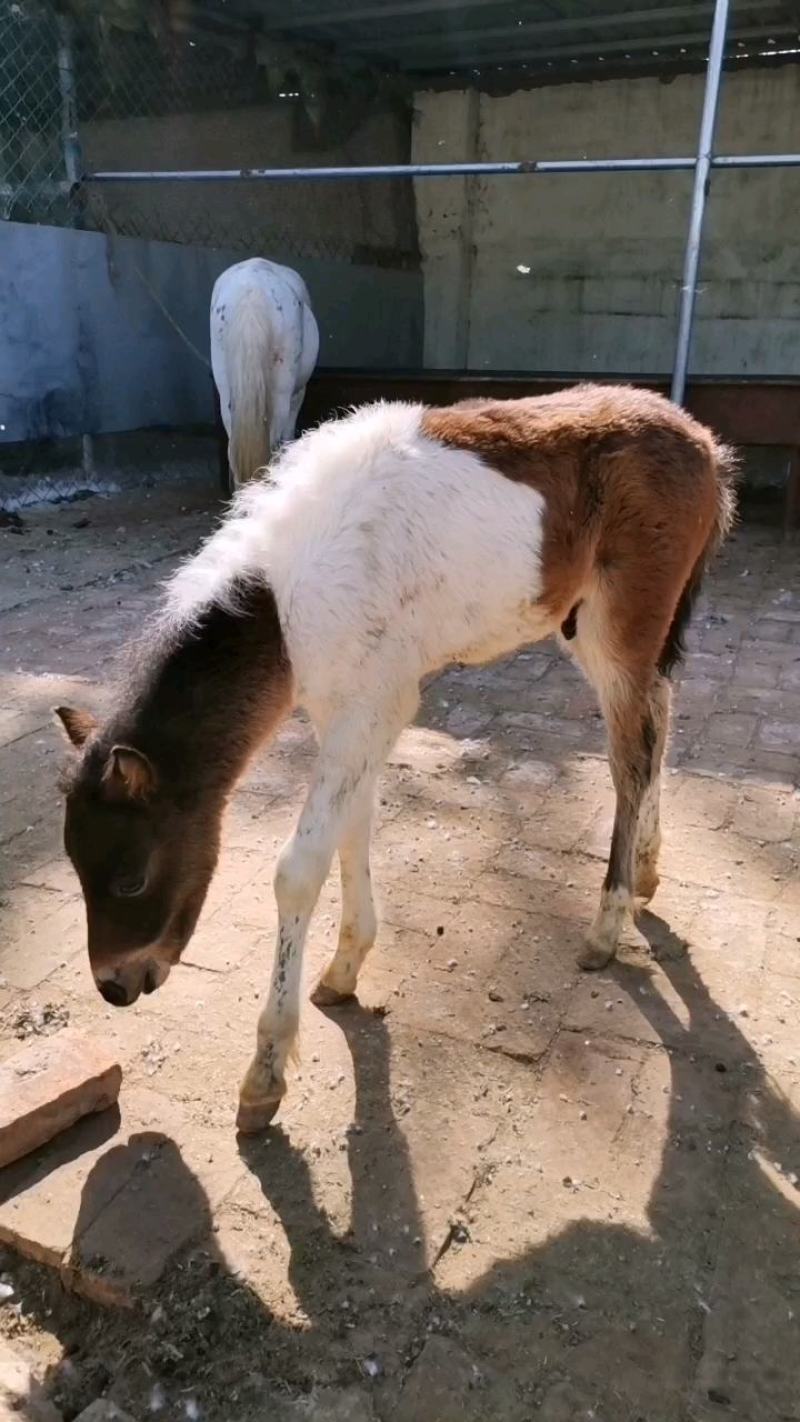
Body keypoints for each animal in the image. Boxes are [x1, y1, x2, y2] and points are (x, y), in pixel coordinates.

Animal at [54, 384, 736, 1134]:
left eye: (130, 880)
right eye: (76, 867)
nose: (114, 987)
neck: (286, 605)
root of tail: (704, 443)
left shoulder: (370, 705)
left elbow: (298, 870)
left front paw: (265, 1073)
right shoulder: (354, 709)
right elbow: (354, 827)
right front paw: (345, 969)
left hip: (623, 625)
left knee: (631, 758)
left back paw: (607, 923)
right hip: (591, 626)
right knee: (660, 718)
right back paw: (646, 871)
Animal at [210, 257, 319, 494]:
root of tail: (252, 289)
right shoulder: (297, 396)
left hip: (225, 388)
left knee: (233, 448)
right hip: (282, 393)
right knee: (274, 443)